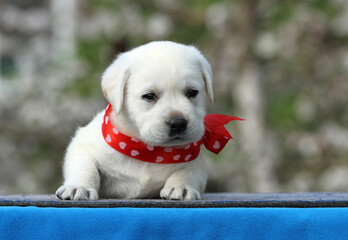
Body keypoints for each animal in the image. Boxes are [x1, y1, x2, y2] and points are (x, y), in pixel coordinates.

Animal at [55, 41, 213, 201]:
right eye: (149, 96)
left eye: (192, 92)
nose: (178, 123)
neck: (145, 150)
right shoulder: (82, 145)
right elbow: (85, 167)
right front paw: (79, 187)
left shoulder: (198, 163)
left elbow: (188, 172)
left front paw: (181, 187)